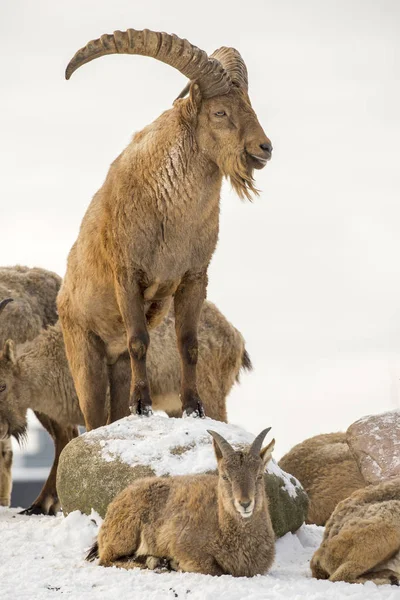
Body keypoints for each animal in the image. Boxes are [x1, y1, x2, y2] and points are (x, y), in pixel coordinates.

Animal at [58, 29, 272, 432]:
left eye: (249, 105)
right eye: (219, 112)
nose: (264, 148)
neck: (170, 220)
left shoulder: (193, 277)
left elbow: (188, 343)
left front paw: (193, 408)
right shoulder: (127, 274)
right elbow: (139, 339)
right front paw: (142, 406)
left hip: (116, 366)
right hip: (84, 353)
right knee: (92, 417)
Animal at [86, 426, 276, 576]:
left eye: (259, 475)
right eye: (225, 476)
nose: (245, 503)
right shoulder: (186, 548)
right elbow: (212, 569)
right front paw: (174, 563)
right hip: (124, 533)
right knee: (107, 559)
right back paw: (155, 563)